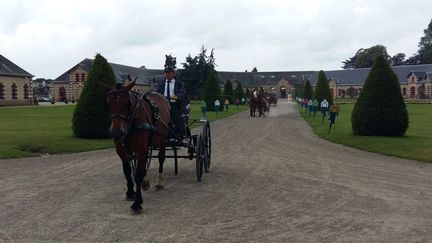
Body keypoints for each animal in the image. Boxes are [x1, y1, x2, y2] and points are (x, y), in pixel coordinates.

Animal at [101, 80, 170, 214]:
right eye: (107, 104)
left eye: (128, 103)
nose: (116, 133)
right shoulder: (121, 150)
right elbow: (128, 171)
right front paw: (130, 192)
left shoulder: (141, 148)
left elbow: (137, 175)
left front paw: (137, 203)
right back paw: (146, 181)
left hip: (162, 138)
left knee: (161, 158)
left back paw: (159, 181)